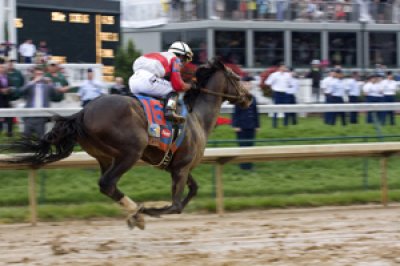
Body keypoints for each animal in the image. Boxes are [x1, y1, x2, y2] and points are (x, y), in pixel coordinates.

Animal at [4, 58, 252, 229]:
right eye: (237, 78)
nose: (249, 97)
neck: (197, 117)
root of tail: (83, 112)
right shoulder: (181, 168)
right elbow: (175, 206)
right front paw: (152, 210)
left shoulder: (179, 166)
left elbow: (193, 191)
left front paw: (150, 210)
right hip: (131, 151)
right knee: (107, 182)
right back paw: (138, 211)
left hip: (105, 156)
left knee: (107, 185)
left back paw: (135, 213)